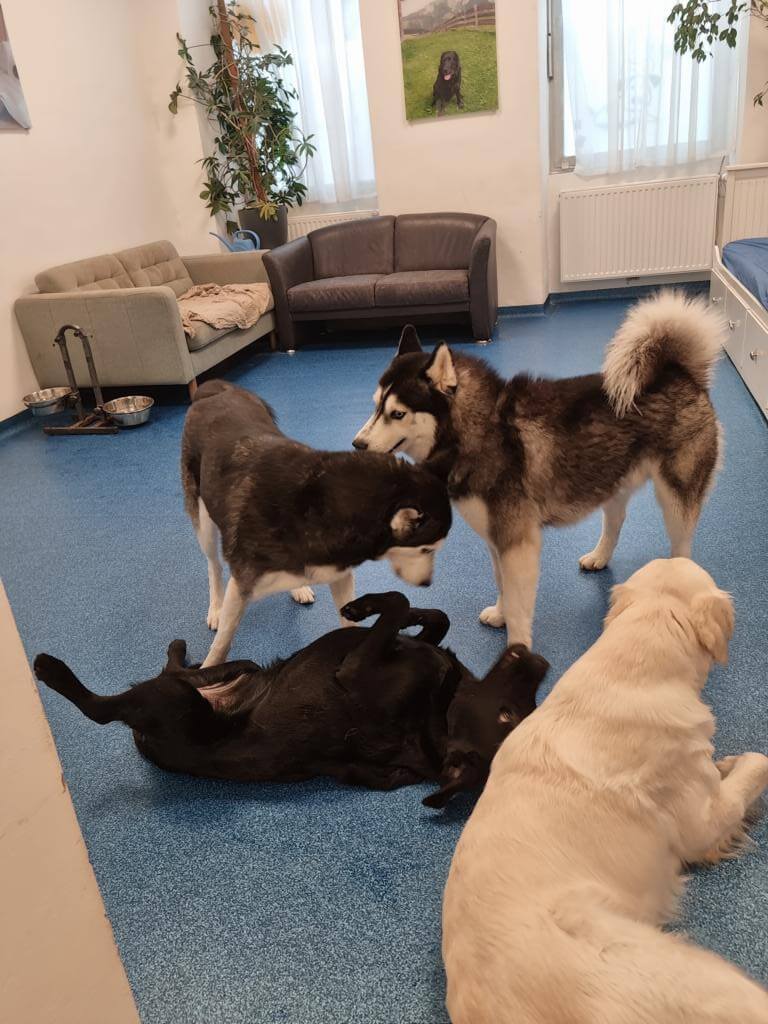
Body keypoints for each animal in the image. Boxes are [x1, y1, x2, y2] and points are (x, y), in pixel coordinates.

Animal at [33, 592, 548, 806]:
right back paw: (185, 650)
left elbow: (401, 603)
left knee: (102, 708)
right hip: (227, 673)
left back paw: (48, 668)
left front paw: (360, 605)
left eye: (509, 716)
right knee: (183, 668)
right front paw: (366, 605)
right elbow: (431, 614)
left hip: (174, 703)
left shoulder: (355, 665)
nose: (541, 661)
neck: (438, 711)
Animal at [182, 380, 452, 666]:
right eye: (427, 550)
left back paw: (298, 587)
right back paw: (215, 607)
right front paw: (207, 671)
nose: (427, 583)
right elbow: (222, 644)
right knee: (213, 566)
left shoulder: (340, 574)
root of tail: (218, 389)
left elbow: (350, 626)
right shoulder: (241, 585)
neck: (327, 509)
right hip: (204, 521)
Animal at [352, 291, 726, 648]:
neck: (481, 428)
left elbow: (519, 605)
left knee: (682, 548)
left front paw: (517, 648)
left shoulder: (518, 544)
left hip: (676, 498)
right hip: (610, 480)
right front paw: (500, 615)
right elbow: (502, 585)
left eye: (397, 413)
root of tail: (679, 373)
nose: (357, 445)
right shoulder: (496, 540)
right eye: (375, 407)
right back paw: (598, 557)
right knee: (616, 522)